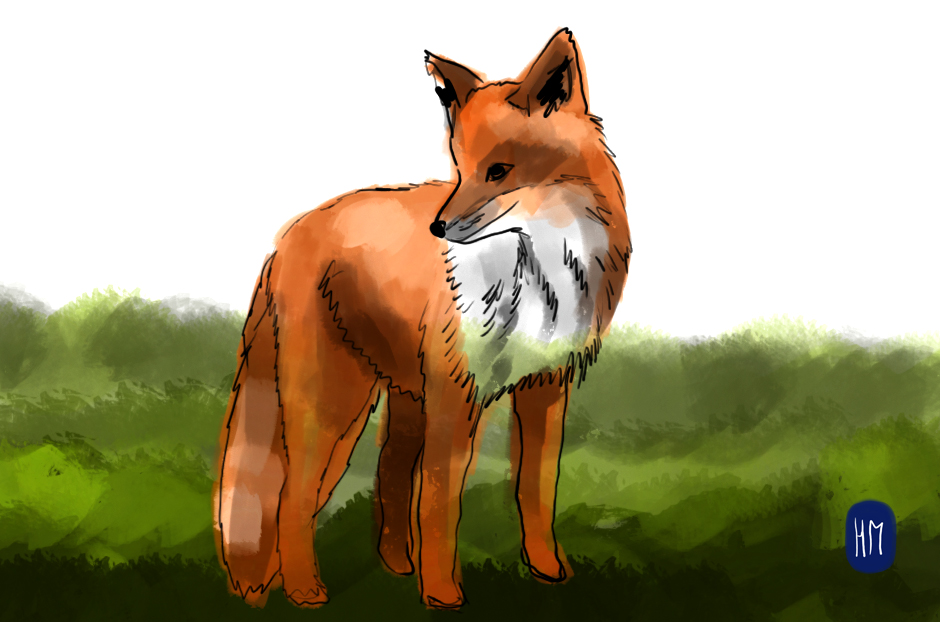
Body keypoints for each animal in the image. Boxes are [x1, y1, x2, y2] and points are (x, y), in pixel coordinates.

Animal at [213, 27, 631, 610]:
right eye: (459, 167)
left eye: (498, 171)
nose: (439, 228)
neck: (534, 275)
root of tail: (287, 237)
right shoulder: (458, 395)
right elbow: (439, 505)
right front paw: (442, 595)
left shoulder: (545, 388)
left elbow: (535, 491)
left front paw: (548, 572)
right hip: (335, 402)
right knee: (293, 497)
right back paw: (304, 591)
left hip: (403, 398)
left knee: (386, 475)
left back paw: (394, 568)